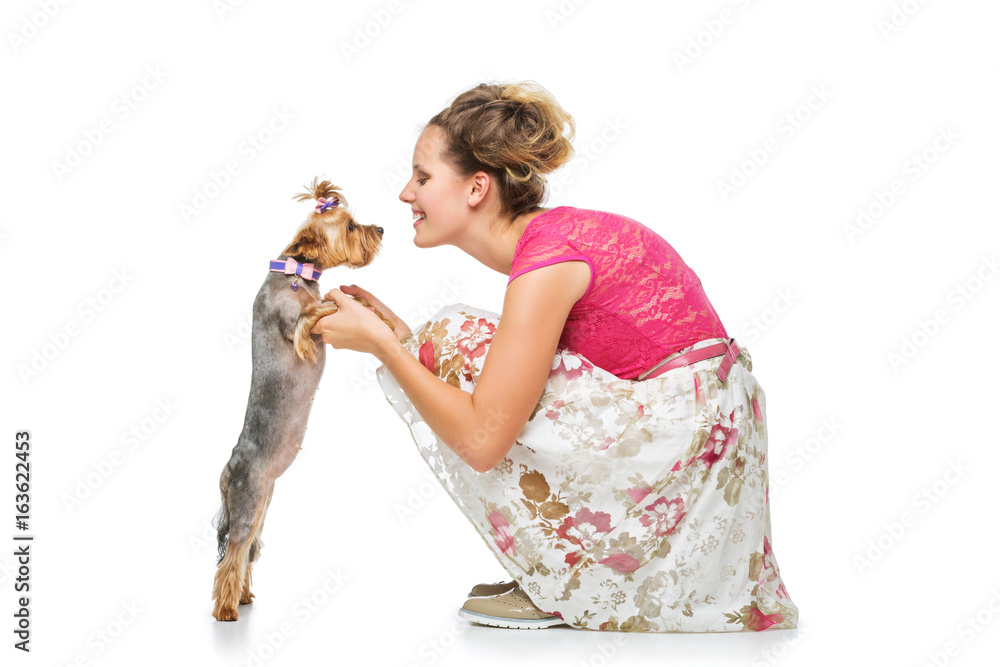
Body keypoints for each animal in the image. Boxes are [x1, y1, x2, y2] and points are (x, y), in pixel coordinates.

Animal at [212, 177, 394, 620]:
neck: (296, 271)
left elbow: (347, 298)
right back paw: (226, 610)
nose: (381, 229)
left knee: (247, 553)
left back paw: (243, 596)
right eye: (350, 226)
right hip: (248, 505)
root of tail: (228, 469)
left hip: (263, 504)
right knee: (233, 556)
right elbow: (322, 307)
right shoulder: (297, 325)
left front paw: (377, 313)